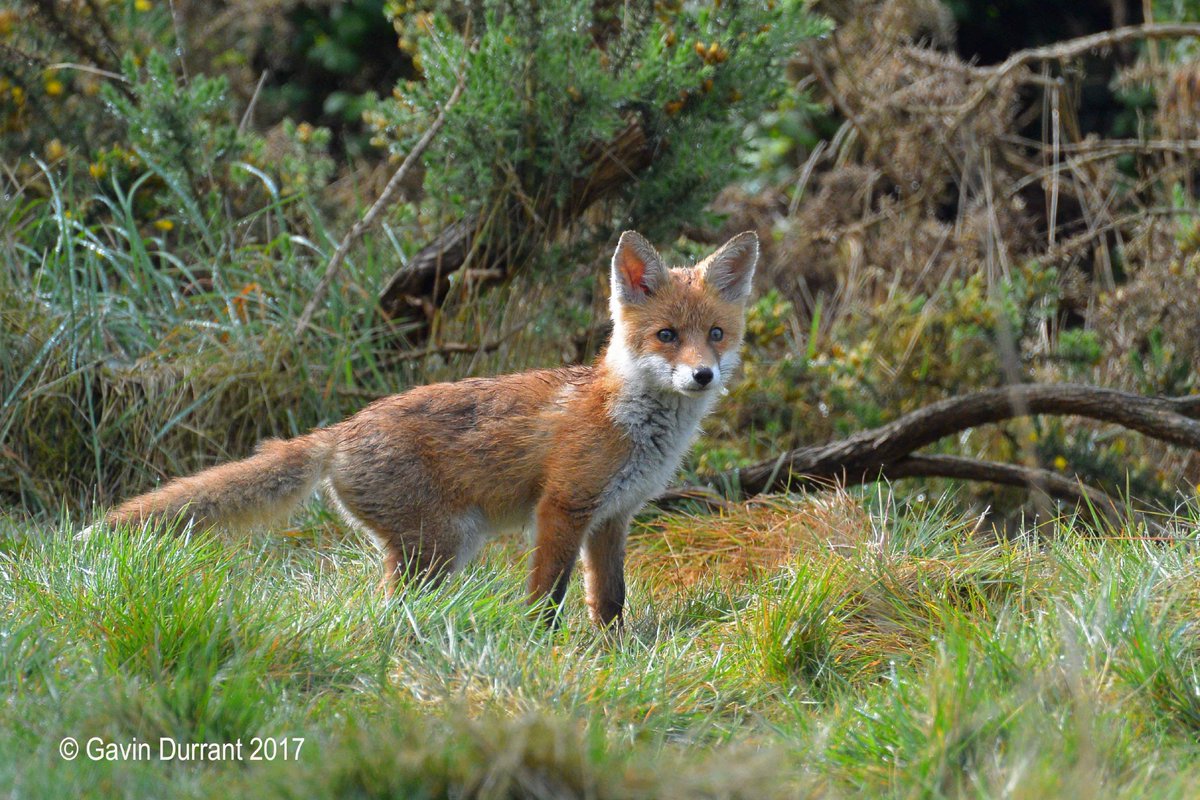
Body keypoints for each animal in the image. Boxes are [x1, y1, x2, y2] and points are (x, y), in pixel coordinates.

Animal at [96, 230, 758, 626]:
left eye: (715, 335)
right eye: (666, 335)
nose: (701, 375)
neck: (633, 424)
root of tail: (339, 431)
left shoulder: (613, 517)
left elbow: (610, 601)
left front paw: (611, 654)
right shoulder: (563, 507)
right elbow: (546, 597)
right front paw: (543, 649)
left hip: (434, 552)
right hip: (440, 547)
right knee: (385, 614)